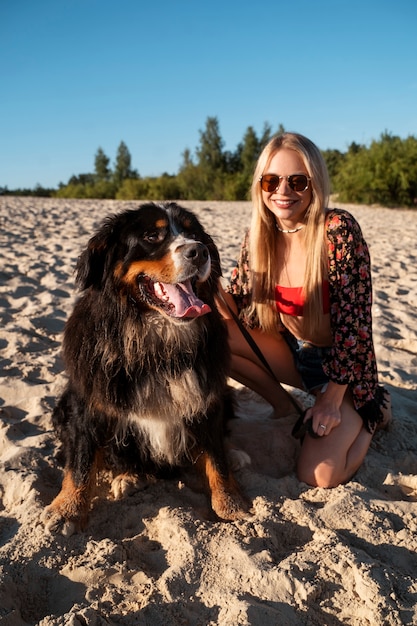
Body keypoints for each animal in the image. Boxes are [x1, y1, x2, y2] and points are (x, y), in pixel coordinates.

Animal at [43, 200, 247, 532]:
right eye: (152, 236)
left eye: (194, 234)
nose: (199, 251)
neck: (157, 344)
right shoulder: (87, 403)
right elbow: (81, 462)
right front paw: (67, 510)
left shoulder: (208, 397)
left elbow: (216, 457)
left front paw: (231, 504)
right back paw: (127, 477)